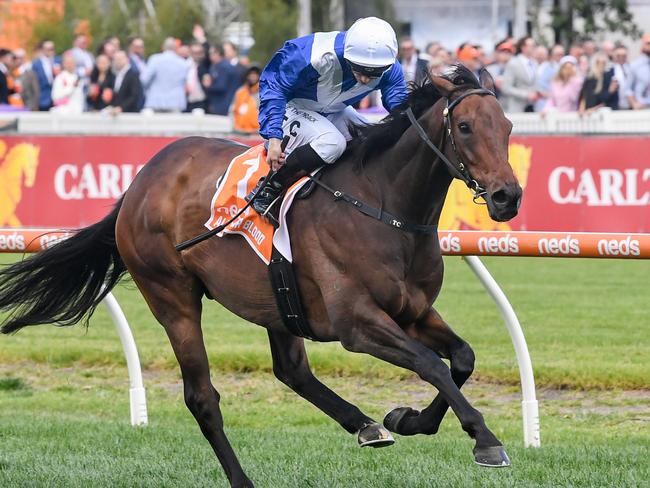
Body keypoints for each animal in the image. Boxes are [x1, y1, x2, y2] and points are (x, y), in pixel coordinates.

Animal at [0, 66, 520, 488]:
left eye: (509, 127)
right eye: (466, 127)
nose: (507, 197)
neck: (383, 207)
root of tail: (140, 183)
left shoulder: (413, 310)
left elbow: (462, 358)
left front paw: (410, 419)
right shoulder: (357, 323)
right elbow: (431, 364)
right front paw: (485, 439)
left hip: (277, 302)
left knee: (292, 371)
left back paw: (365, 425)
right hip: (172, 297)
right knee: (202, 397)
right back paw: (243, 477)